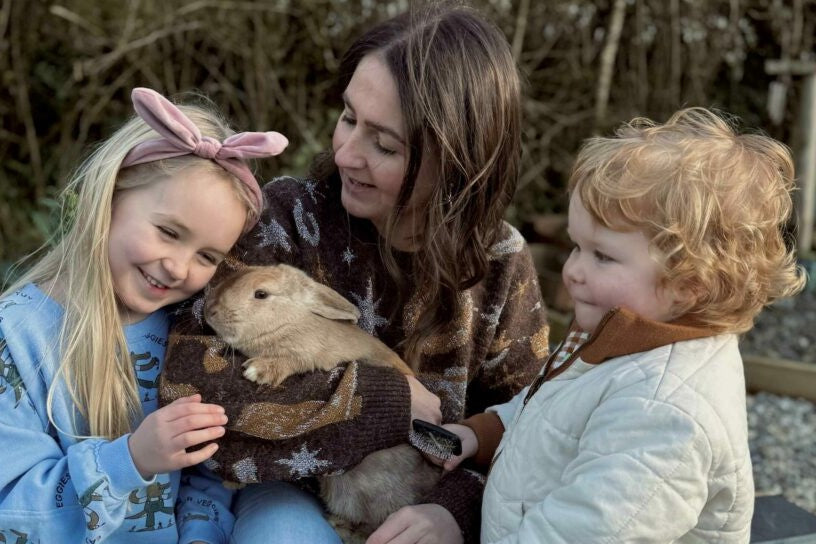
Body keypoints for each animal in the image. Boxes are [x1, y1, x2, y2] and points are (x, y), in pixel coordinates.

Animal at [204, 264, 446, 540]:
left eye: (261, 294)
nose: (209, 310)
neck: (289, 322)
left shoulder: (309, 354)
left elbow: (291, 361)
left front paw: (258, 370)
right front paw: (232, 481)